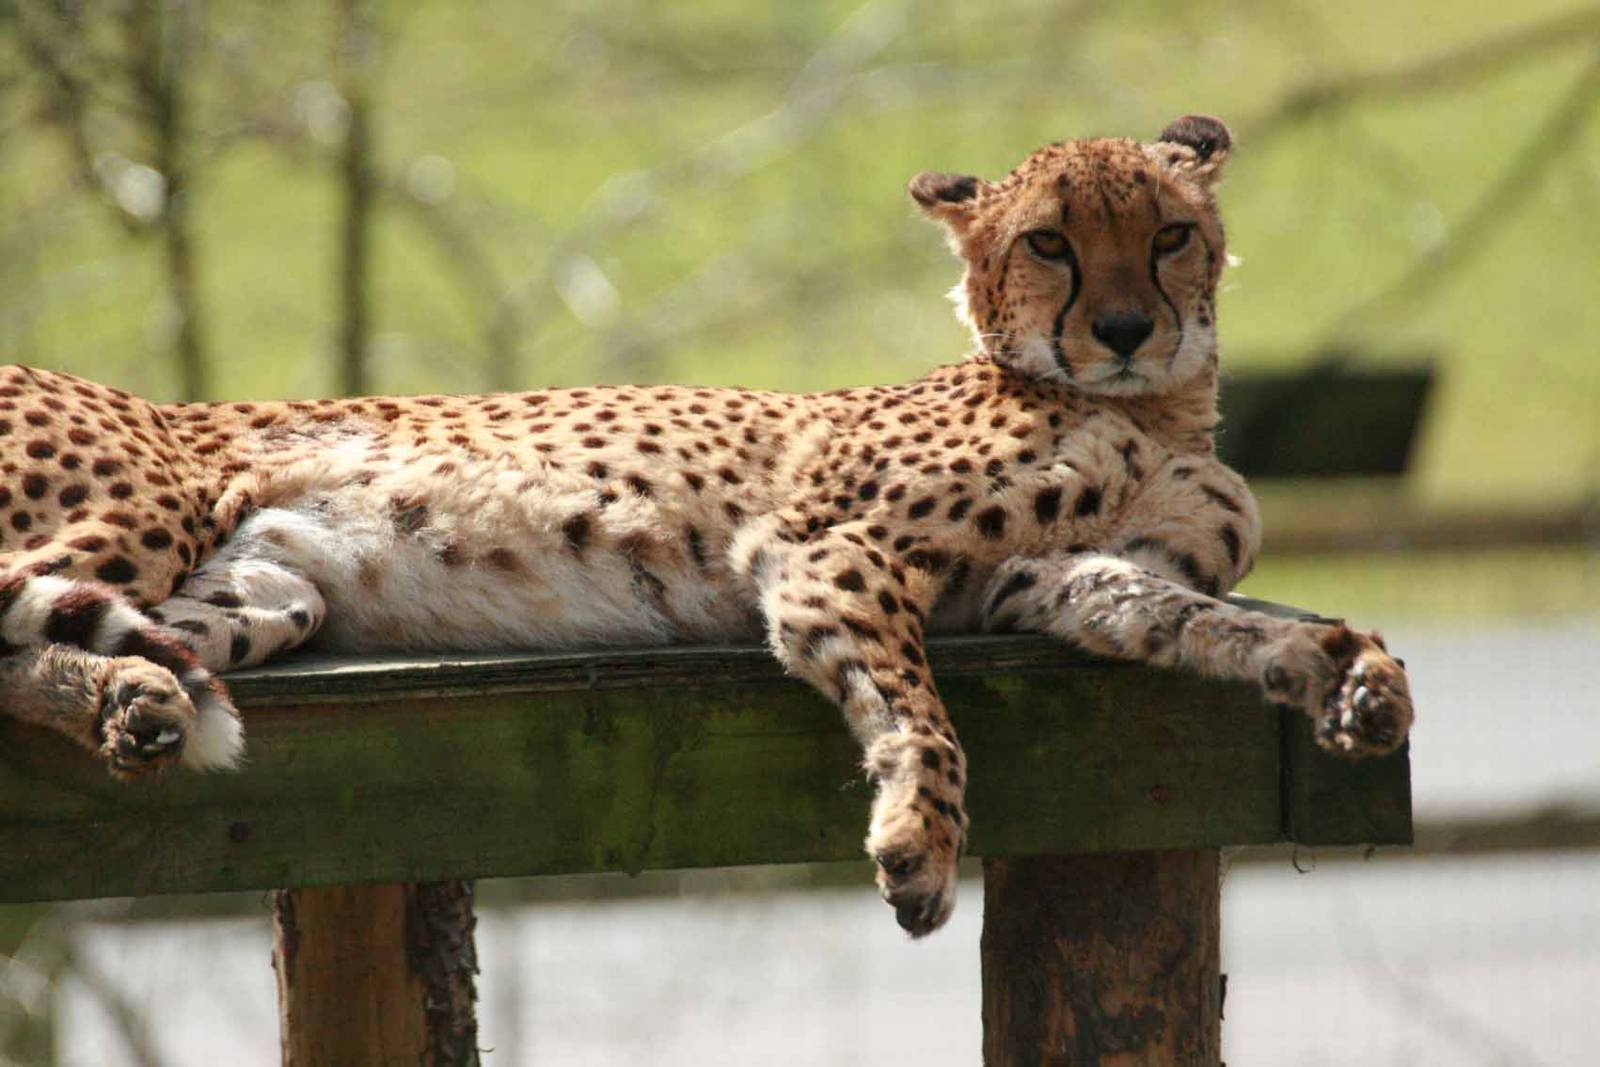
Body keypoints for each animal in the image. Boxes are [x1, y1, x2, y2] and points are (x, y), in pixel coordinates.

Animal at [0, 115, 1412, 937]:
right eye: (1051, 243)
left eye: (1170, 233)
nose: (1123, 327)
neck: (1152, 407)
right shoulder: (827, 553)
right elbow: (919, 710)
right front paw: (918, 838)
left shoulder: (1062, 581)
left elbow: (1200, 620)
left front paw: (1344, 674)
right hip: (145, 507)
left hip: (260, 593)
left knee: (46, 655)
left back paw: (137, 704)